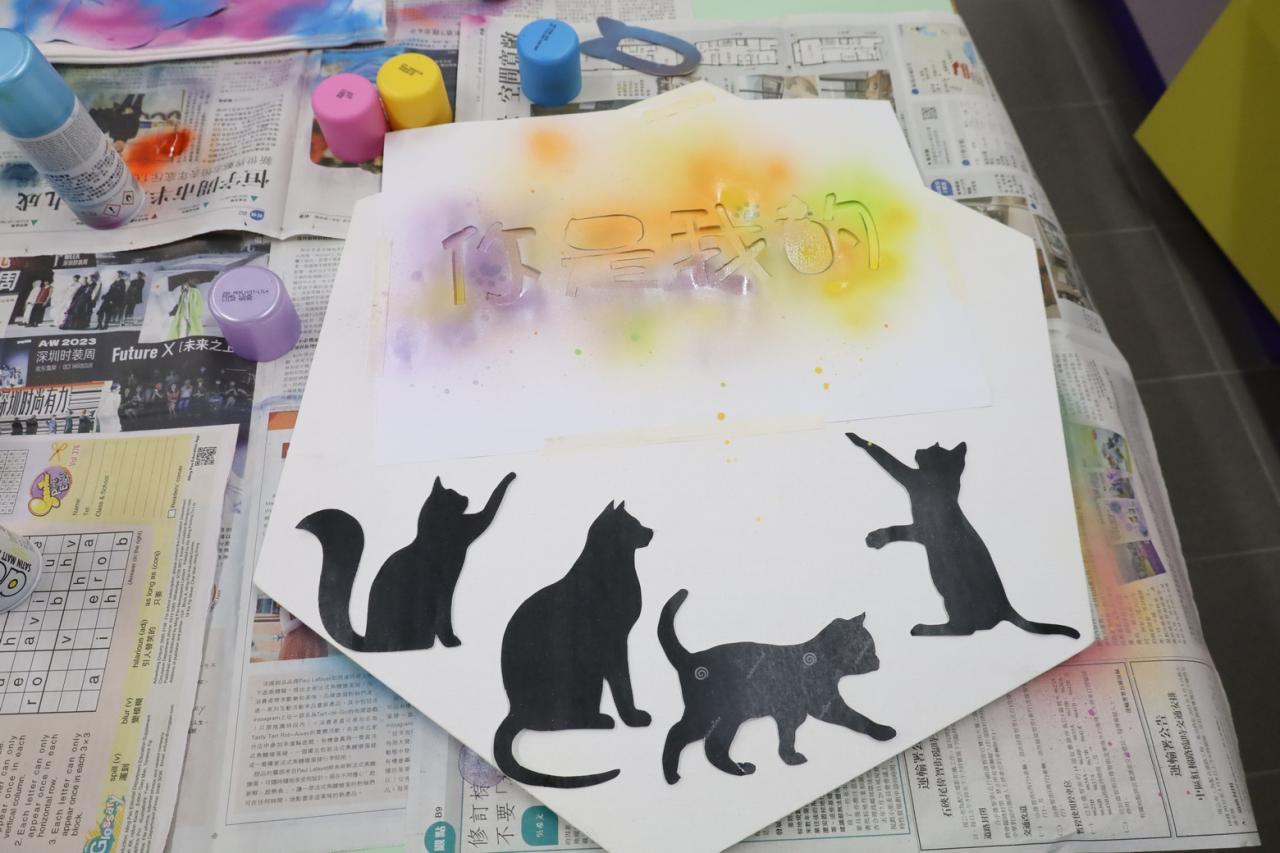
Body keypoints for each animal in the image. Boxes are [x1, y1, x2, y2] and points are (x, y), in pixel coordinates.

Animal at [297, 472, 516, 652]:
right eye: (454, 495)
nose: (466, 497)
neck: (435, 528)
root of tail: (368, 642)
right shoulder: (461, 539)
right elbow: (490, 507)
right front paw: (510, 476)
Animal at [494, 501, 653, 788]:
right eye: (635, 524)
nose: (651, 531)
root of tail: (514, 710)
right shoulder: (614, 642)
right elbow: (623, 684)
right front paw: (634, 718)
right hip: (579, 674)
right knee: (559, 722)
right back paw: (603, 720)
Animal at [658, 589, 896, 784]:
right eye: (867, 648)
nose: (878, 661)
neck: (822, 659)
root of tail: (690, 658)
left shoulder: (790, 715)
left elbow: (787, 737)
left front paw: (790, 758)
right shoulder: (826, 706)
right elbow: (857, 718)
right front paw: (883, 731)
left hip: (722, 719)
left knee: (708, 746)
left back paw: (734, 770)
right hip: (711, 715)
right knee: (680, 734)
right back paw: (676, 776)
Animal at [846, 432, 1080, 639]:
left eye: (930, 449)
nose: (918, 449)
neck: (943, 480)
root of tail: (1007, 609)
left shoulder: (917, 504)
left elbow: (886, 458)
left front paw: (857, 438)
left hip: (954, 594)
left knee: (964, 629)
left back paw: (923, 629)